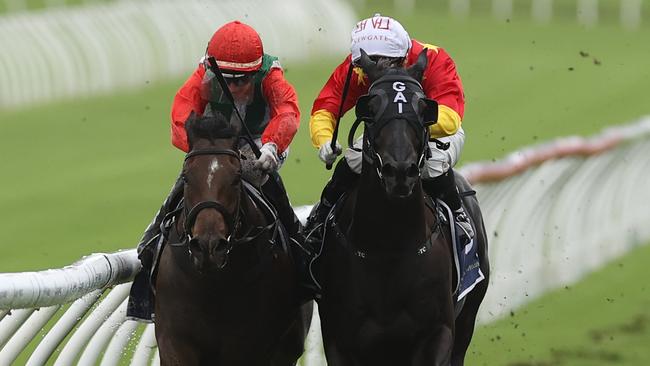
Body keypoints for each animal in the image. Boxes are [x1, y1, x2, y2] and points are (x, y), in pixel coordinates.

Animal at [156, 113, 310, 364]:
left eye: (236, 178)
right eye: (186, 177)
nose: (208, 246)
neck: (213, 285)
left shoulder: (249, 344)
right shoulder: (174, 340)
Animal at [316, 50, 488, 364]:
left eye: (423, 108)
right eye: (370, 109)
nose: (399, 172)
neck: (388, 248)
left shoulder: (438, 333)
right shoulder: (339, 341)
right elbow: (326, 107)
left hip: (469, 314)